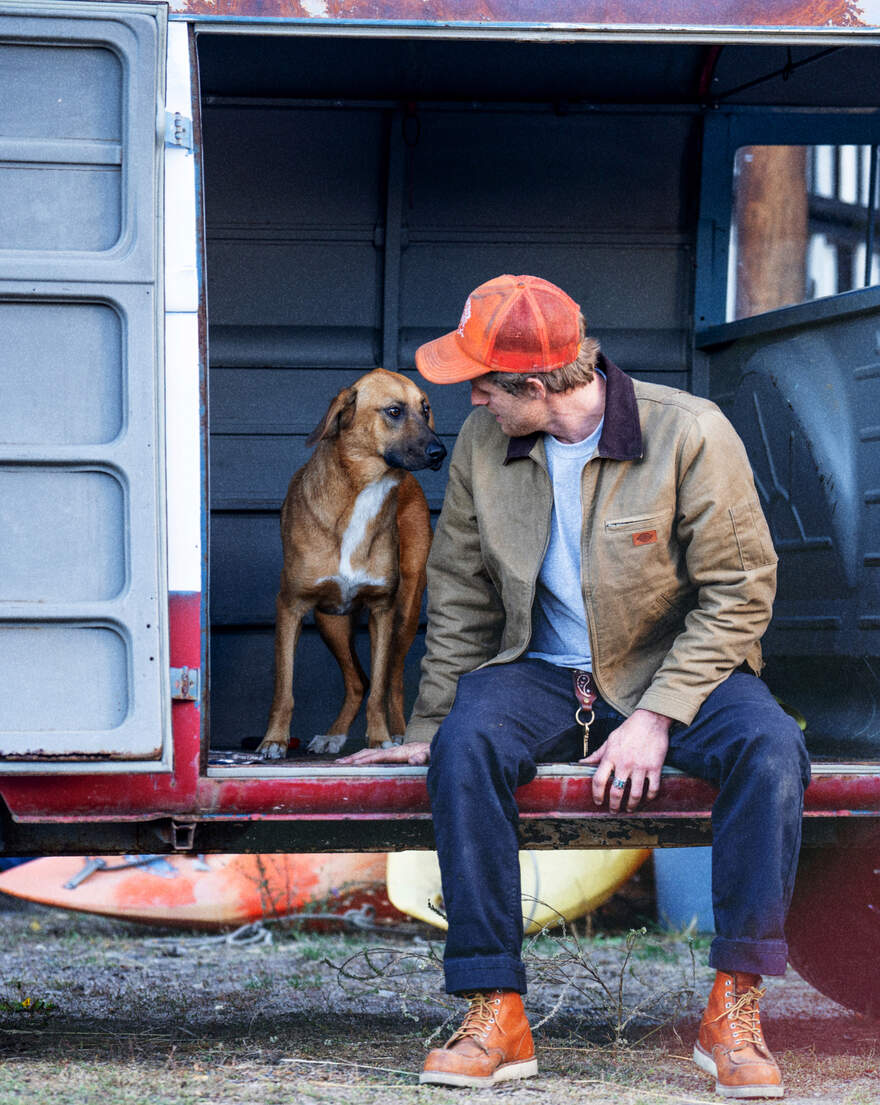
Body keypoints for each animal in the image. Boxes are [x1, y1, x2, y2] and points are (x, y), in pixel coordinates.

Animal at [256, 371, 446, 760]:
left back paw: (399, 733)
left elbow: (380, 689)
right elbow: (284, 688)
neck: (365, 491)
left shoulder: (382, 610)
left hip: (405, 610)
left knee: (390, 679)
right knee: (359, 680)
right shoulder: (290, 607)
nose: (440, 452)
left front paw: (380, 738)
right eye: (393, 411)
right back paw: (334, 735)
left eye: (425, 409)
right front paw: (274, 740)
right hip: (330, 622)